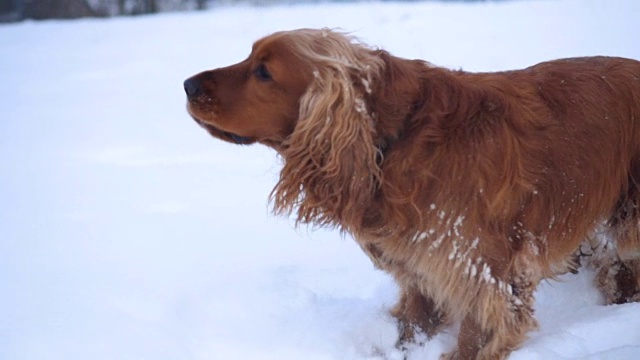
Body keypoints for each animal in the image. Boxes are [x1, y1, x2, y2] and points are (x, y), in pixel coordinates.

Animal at [184, 28, 640, 360]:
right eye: (249, 57)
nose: (187, 84)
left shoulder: (479, 265)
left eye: (264, 72)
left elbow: (480, 330)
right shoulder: (420, 262)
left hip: (629, 216)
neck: (392, 137)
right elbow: (415, 320)